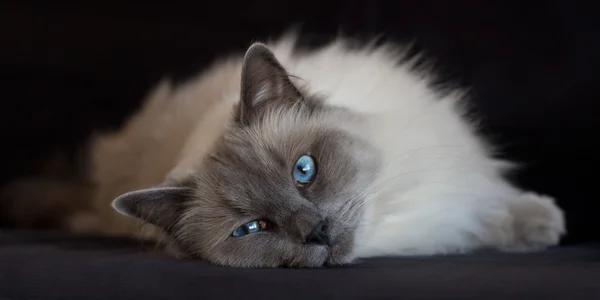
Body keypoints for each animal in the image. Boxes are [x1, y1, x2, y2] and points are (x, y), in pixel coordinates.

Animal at [1, 33, 564, 268]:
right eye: (253, 229)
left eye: (303, 171)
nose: (316, 231)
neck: (391, 230)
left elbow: (481, 211)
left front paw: (541, 224)